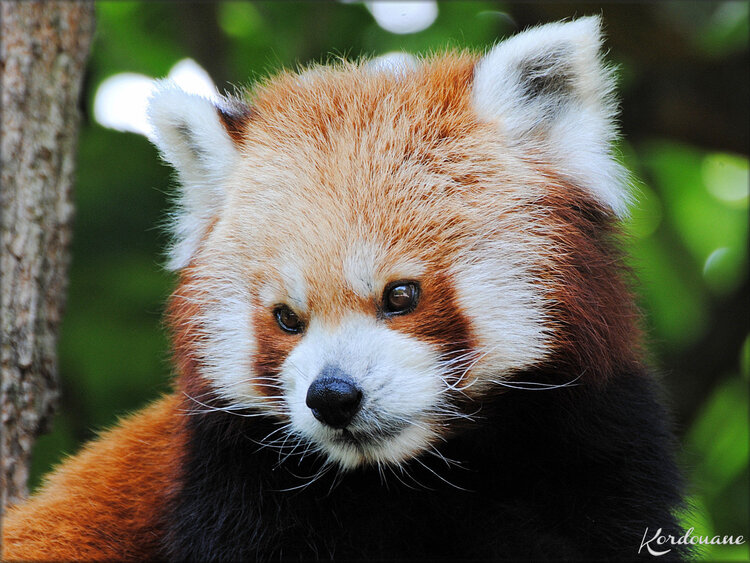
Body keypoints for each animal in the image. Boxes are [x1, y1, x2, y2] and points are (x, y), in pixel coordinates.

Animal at [4, 16, 688, 560]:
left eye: (401, 295)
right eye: (286, 317)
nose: (332, 397)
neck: (413, 479)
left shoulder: (602, 457)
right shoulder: (233, 497)